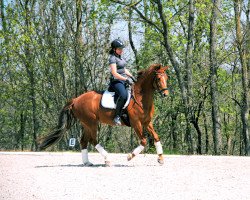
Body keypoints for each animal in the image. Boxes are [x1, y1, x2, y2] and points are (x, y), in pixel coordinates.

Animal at [38, 63, 168, 166]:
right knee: (93, 140)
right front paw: (130, 156)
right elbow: (144, 141)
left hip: (86, 124)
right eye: (158, 78)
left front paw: (161, 158)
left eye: (166, 77)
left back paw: (87, 162)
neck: (140, 98)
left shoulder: (147, 122)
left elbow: (156, 137)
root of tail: (76, 99)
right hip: (92, 123)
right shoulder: (136, 123)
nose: (165, 94)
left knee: (84, 141)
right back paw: (107, 159)